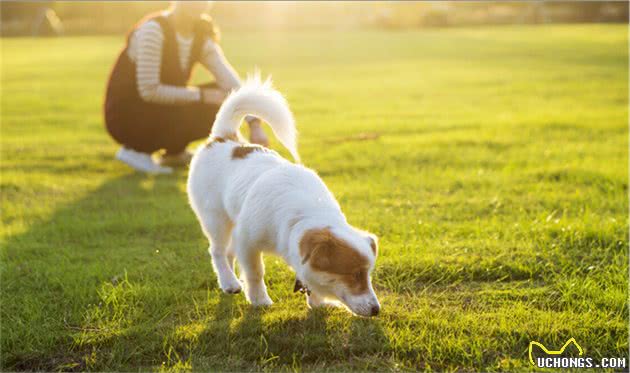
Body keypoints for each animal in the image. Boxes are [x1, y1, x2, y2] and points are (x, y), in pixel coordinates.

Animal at [188, 77, 382, 316]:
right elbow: (255, 272)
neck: (304, 215)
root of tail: (224, 138)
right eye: (354, 274)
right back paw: (228, 282)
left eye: (368, 274)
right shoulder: (248, 241)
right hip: (216, 219)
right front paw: (259, 299)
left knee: (229, 252)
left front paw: (317, 301)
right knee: (217, 251)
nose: (376, 310)